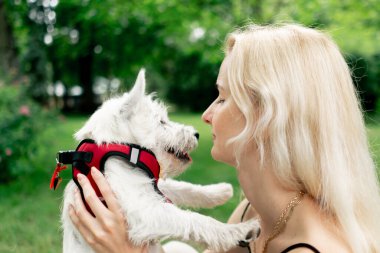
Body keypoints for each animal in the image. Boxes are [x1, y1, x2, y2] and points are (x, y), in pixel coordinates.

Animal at [55, 69, 258, 253]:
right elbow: (196, 220)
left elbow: (183, 187)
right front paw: (242, 229)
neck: (121, 148)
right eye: (161, 122)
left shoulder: (151, 186)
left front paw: (220, 191)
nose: (196, 134)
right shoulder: (145, 211)